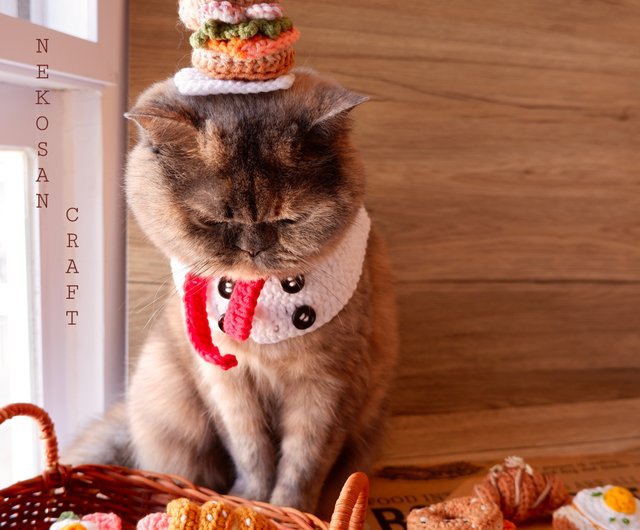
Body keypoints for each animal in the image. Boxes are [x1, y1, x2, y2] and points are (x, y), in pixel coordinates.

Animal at [63, 69, 396, 516]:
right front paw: (250, 501)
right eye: (213, 220)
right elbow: (250, 452)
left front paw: (291, 511)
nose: (253, 247)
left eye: (289, 220)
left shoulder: (326, 387)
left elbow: (303, 464)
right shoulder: (227, 385)